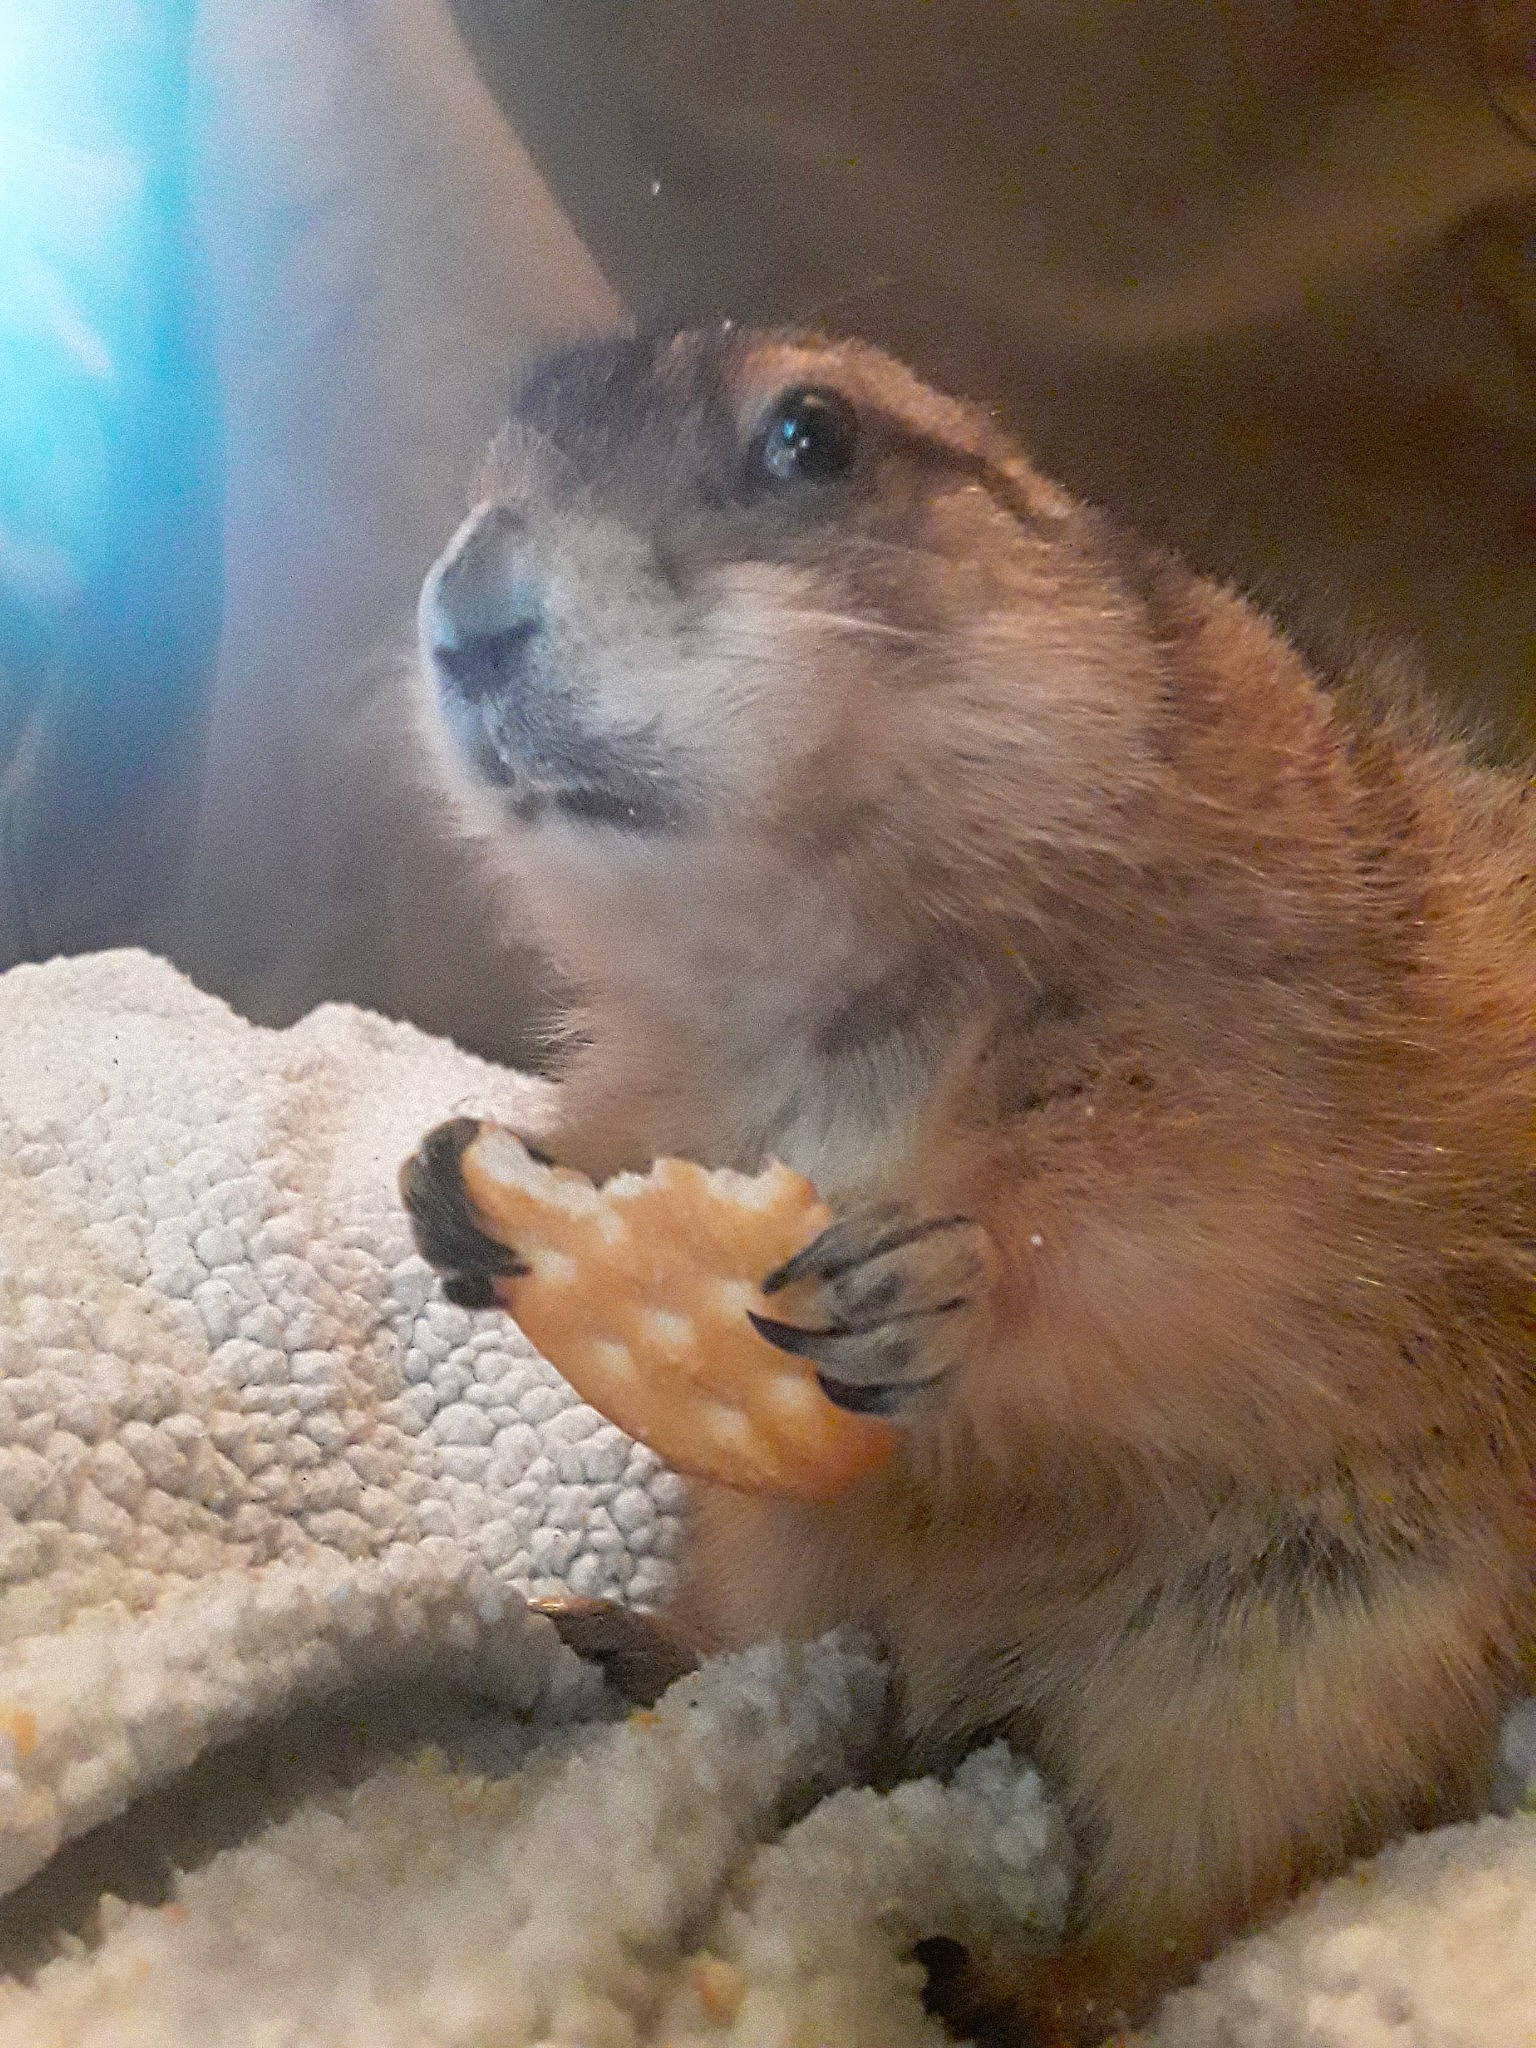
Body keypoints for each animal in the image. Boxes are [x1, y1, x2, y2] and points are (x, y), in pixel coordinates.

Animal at [400, 327, 1536, 2042]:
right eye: (500, 429)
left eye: (813, 435)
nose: (466, 608)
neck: (814, 977)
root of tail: (966, 1689)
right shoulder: (672, 1068)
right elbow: (618, 1120)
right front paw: (467, 1179)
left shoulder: (1258, 1016)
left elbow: (1177, 1206)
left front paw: (937, 1273)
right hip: (778, 1555)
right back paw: (617, 1645)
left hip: (1306, 1666)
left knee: (1183, 1902)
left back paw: (982, 1974)